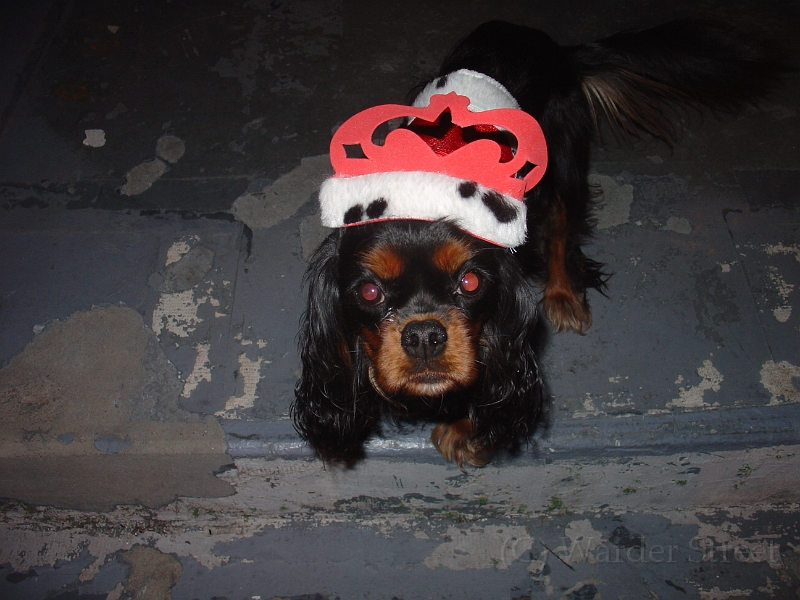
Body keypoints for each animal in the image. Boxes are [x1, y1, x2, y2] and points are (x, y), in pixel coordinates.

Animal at [292, 19, 790, 468]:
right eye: (369, 291)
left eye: (471, 282)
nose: (424, 336)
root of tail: (550, 45)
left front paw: (463, 428)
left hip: (564, 161)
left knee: (563, 230)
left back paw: (564, 294)